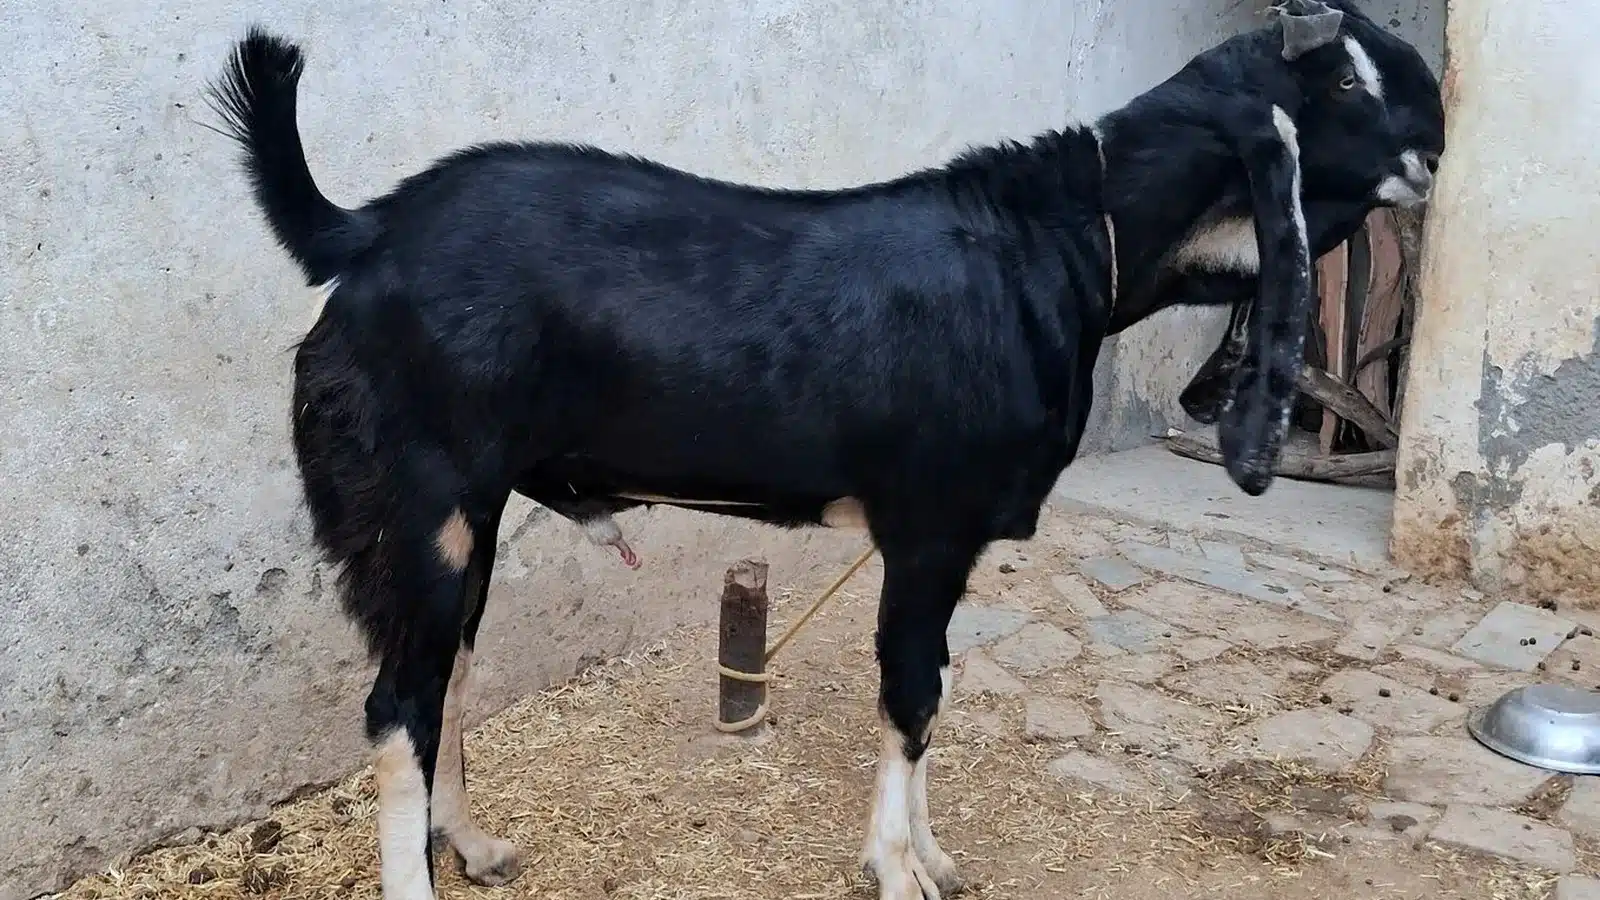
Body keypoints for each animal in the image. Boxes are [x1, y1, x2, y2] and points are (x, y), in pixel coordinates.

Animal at [206, 3, 1443, 897]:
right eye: (1341, 81)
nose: (1434, 138)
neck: (1061, 248)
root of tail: (365, 231)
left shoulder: (941, 539)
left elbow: (931, 682)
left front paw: (929, 856)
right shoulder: (929, 522)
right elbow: (910, 690)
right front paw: (898, 870)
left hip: (471, 508)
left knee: (447, 674)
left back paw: (477, 846)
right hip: (418, 500)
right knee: (398, 703)